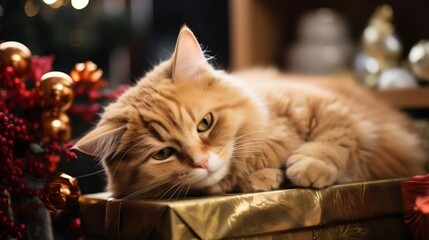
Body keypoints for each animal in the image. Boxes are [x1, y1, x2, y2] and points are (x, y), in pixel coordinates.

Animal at [72, 25, 424, 199]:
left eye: (205, 123)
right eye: (163, 154)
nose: (202, 162)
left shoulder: (335, 111)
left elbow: (336, 139)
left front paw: (306, 167)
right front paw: (261, 179)